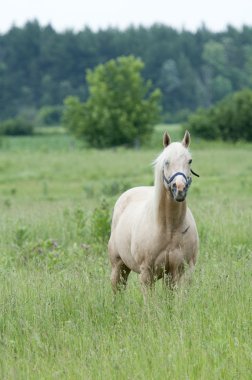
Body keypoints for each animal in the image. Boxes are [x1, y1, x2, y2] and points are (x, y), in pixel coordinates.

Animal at [108, 131, 199, 294]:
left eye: (189, 161)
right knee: (117, 289)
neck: (169, 228)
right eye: (166, 162)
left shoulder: (180, 272)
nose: (180, 189)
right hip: (118, 266)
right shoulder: (146, 274)